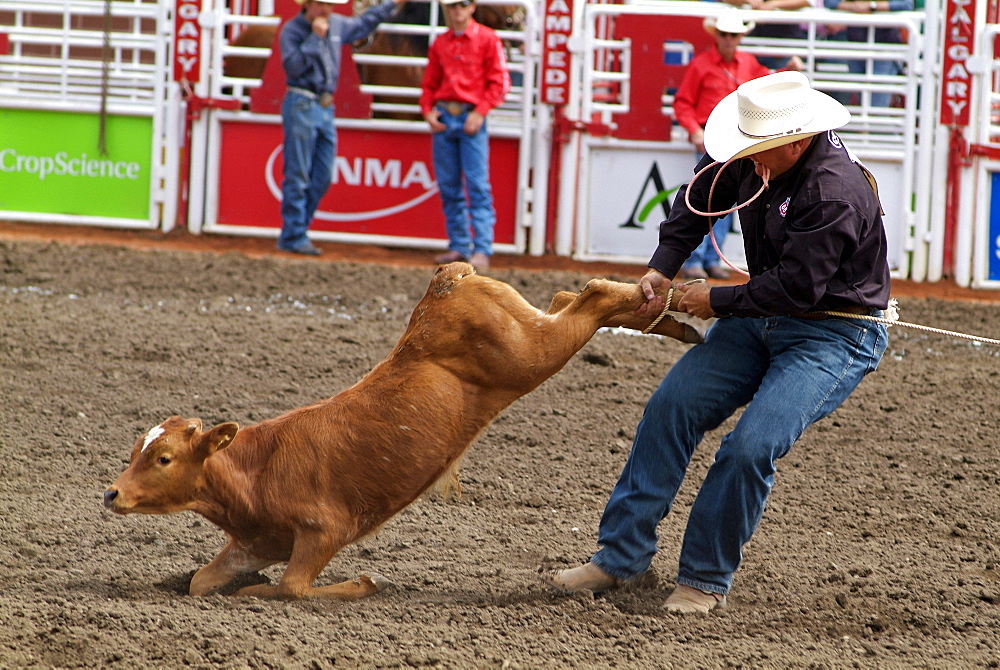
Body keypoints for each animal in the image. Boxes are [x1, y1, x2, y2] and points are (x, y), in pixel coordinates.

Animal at [99, 264, 696, 604]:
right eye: (134, 451)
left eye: (164, 458)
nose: (111, 493)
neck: (257, 471)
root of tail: (447, 280)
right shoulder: (256, 542)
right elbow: (203, 580)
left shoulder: (323, 531)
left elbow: (289, 589)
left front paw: (363, 585)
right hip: (532, 331)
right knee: (566, 298)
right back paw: (670, 317)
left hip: (530, 353)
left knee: (591, 296)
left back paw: (670, 305)